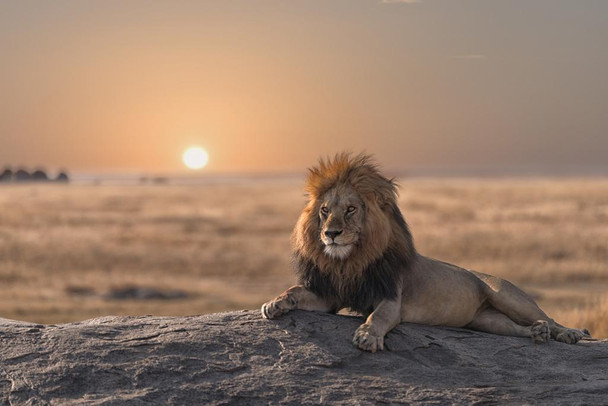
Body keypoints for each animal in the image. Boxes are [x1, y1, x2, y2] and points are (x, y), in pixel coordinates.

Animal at [260, 154, 588, 350]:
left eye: (351, 210)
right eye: (325, 211)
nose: (331, 233)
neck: (350, 261)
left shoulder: (390, 298)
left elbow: (377, 317)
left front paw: (367, 336)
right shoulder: (330, 295)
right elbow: (296, 291)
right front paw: (275, 303)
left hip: (507, 295)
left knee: (547, 317)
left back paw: (568, 333)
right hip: (485, 321)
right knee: (518, 328)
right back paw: (536, 334)